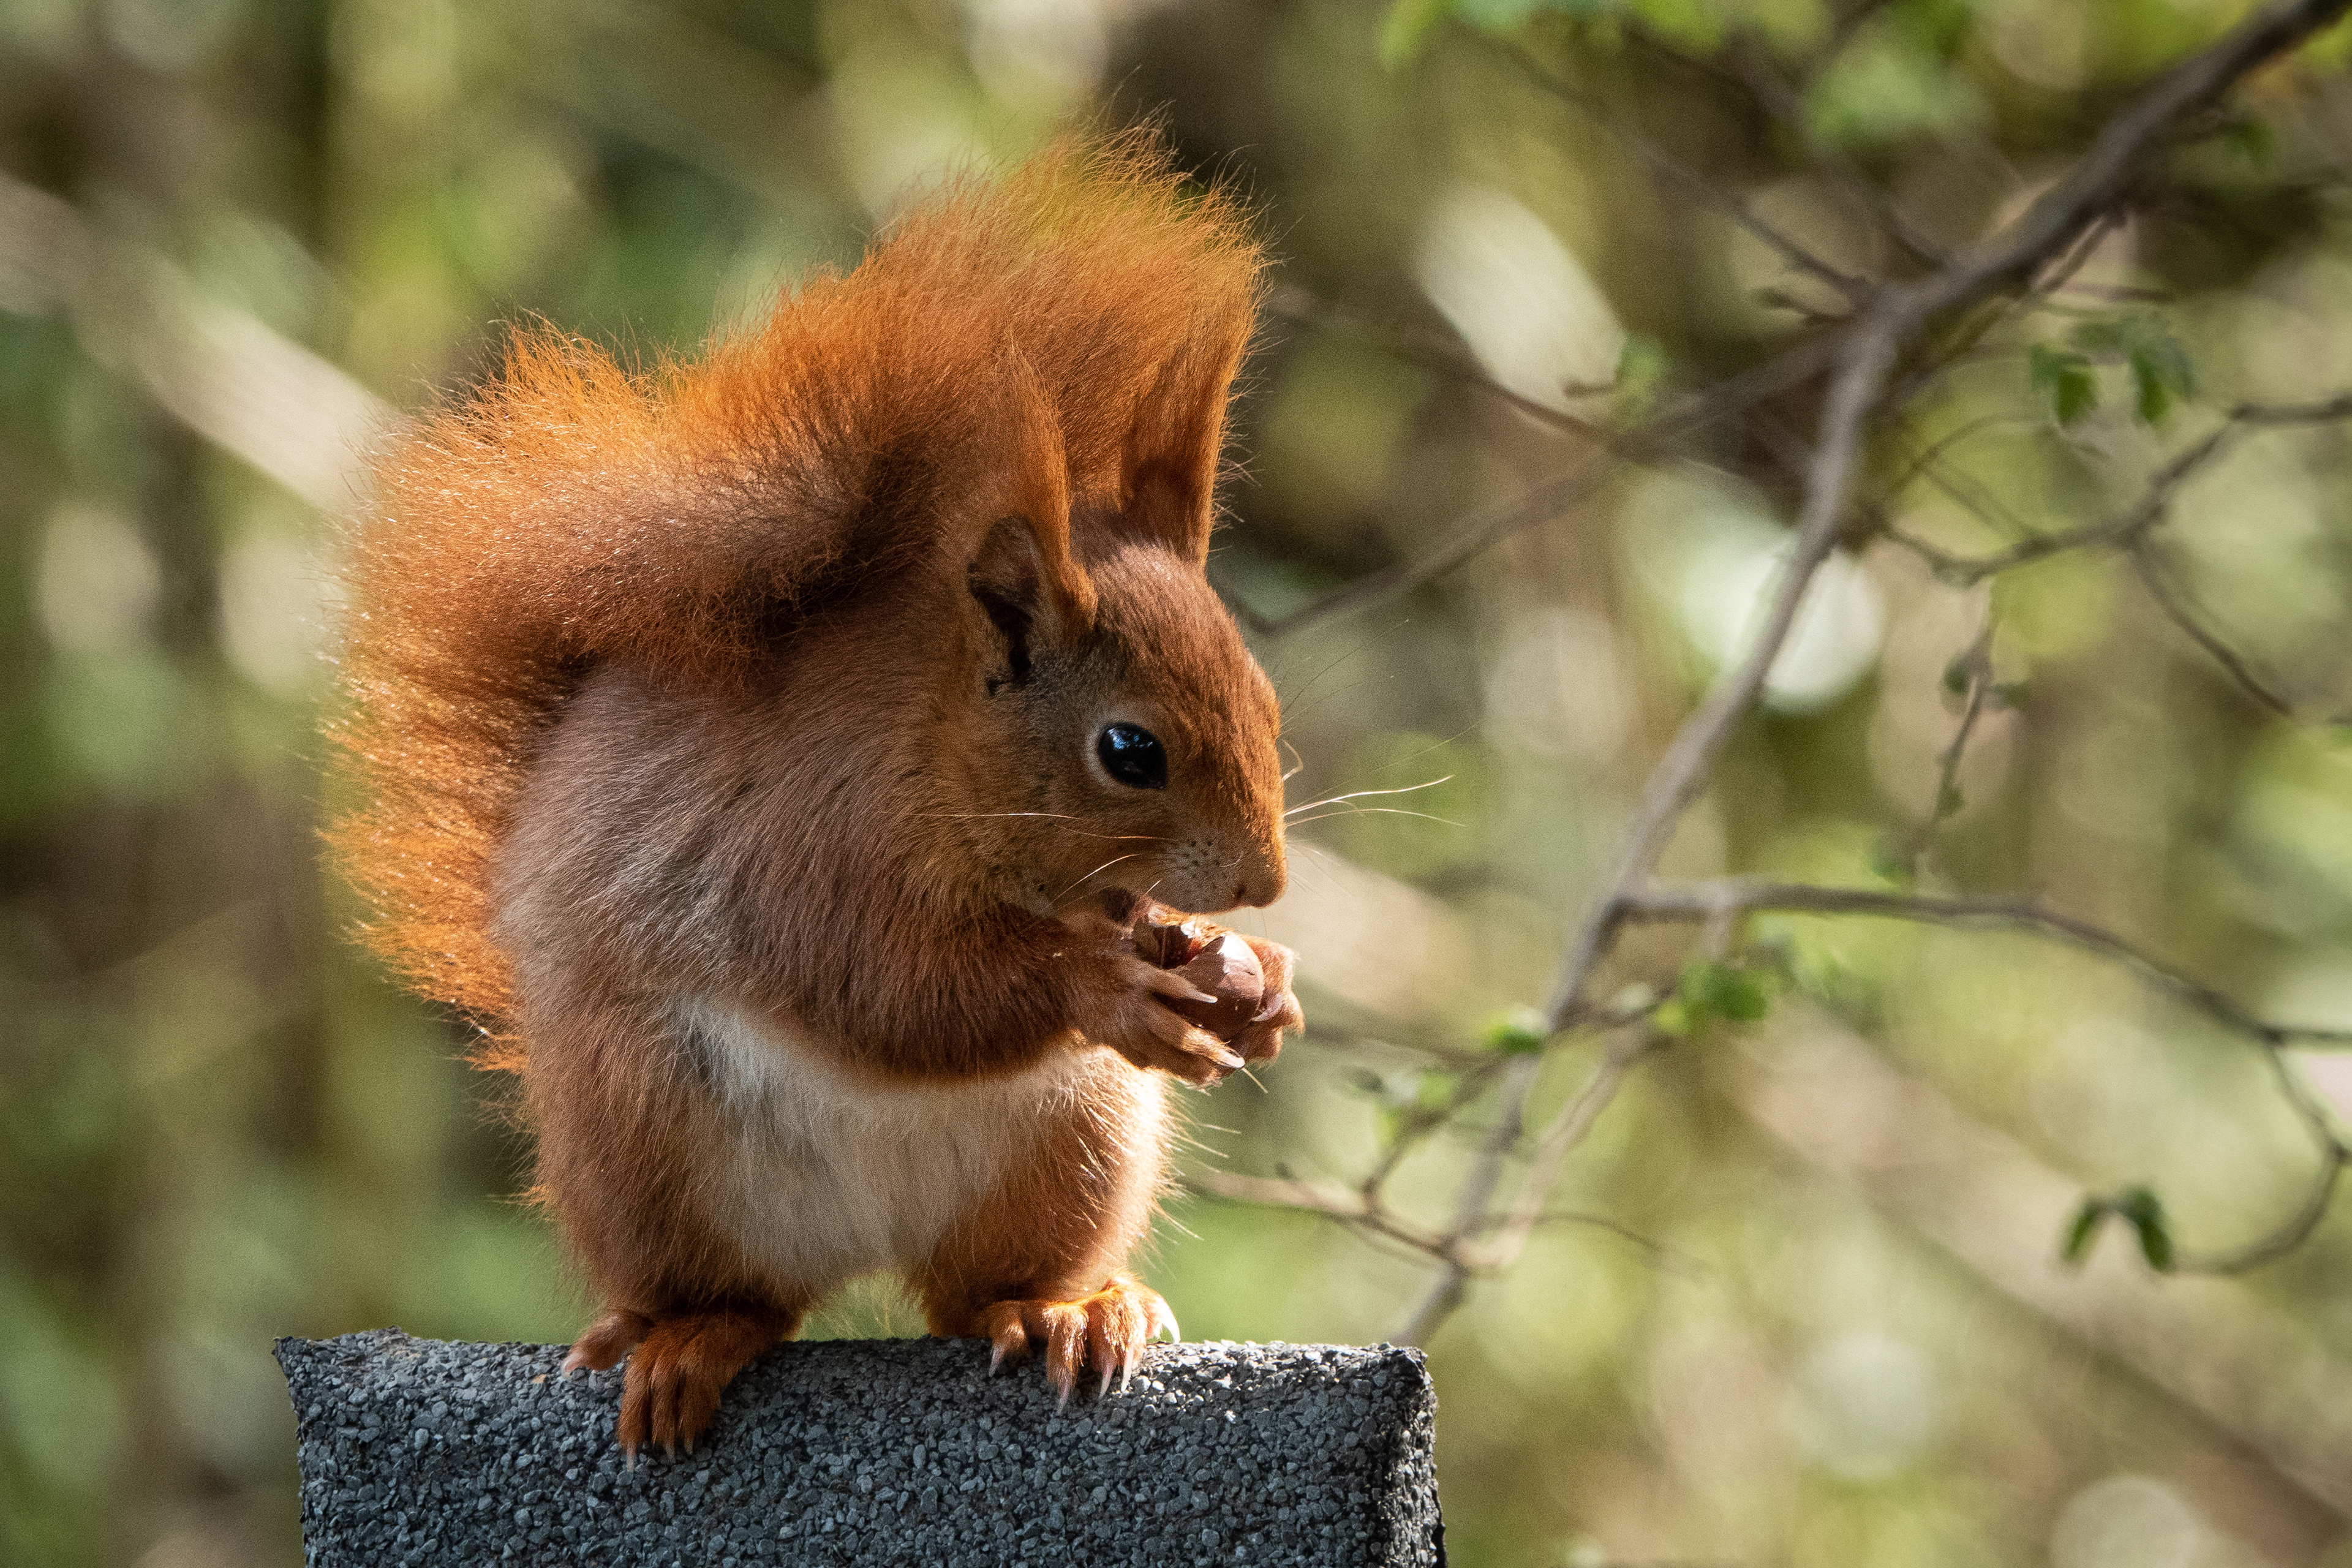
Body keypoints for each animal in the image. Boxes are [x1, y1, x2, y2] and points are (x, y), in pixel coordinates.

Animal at [326, 134, 1303, 1459]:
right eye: (1129, 749)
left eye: (1267, 702)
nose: (1266, 881)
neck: (938, 750)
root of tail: (862, 1246)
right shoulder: (799, 843)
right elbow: (884, 987)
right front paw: (1101, 986)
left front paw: (1254, 981)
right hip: (645, 1142)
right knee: (744, 1298)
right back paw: (692, 1338)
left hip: (1074, 1146)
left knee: (973, 1294)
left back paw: (1066, 1308)